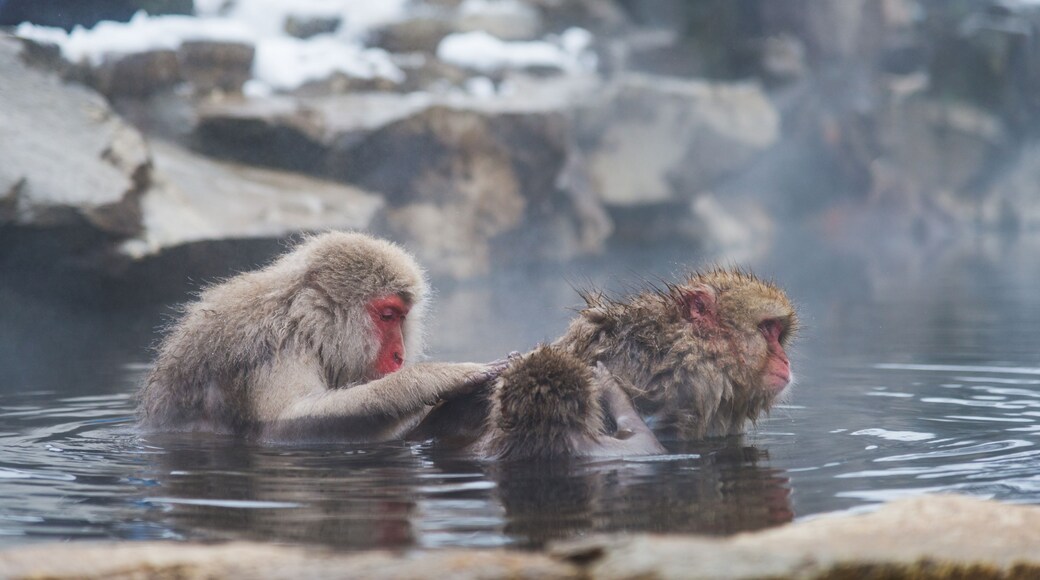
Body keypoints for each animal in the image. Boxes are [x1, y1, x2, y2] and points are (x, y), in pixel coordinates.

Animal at [137, 231, 501, 442]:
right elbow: (286, 424)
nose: (399, 355)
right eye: (387, 316)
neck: (304, 322)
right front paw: (432, 379)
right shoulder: (275, 346)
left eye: (402, 318)